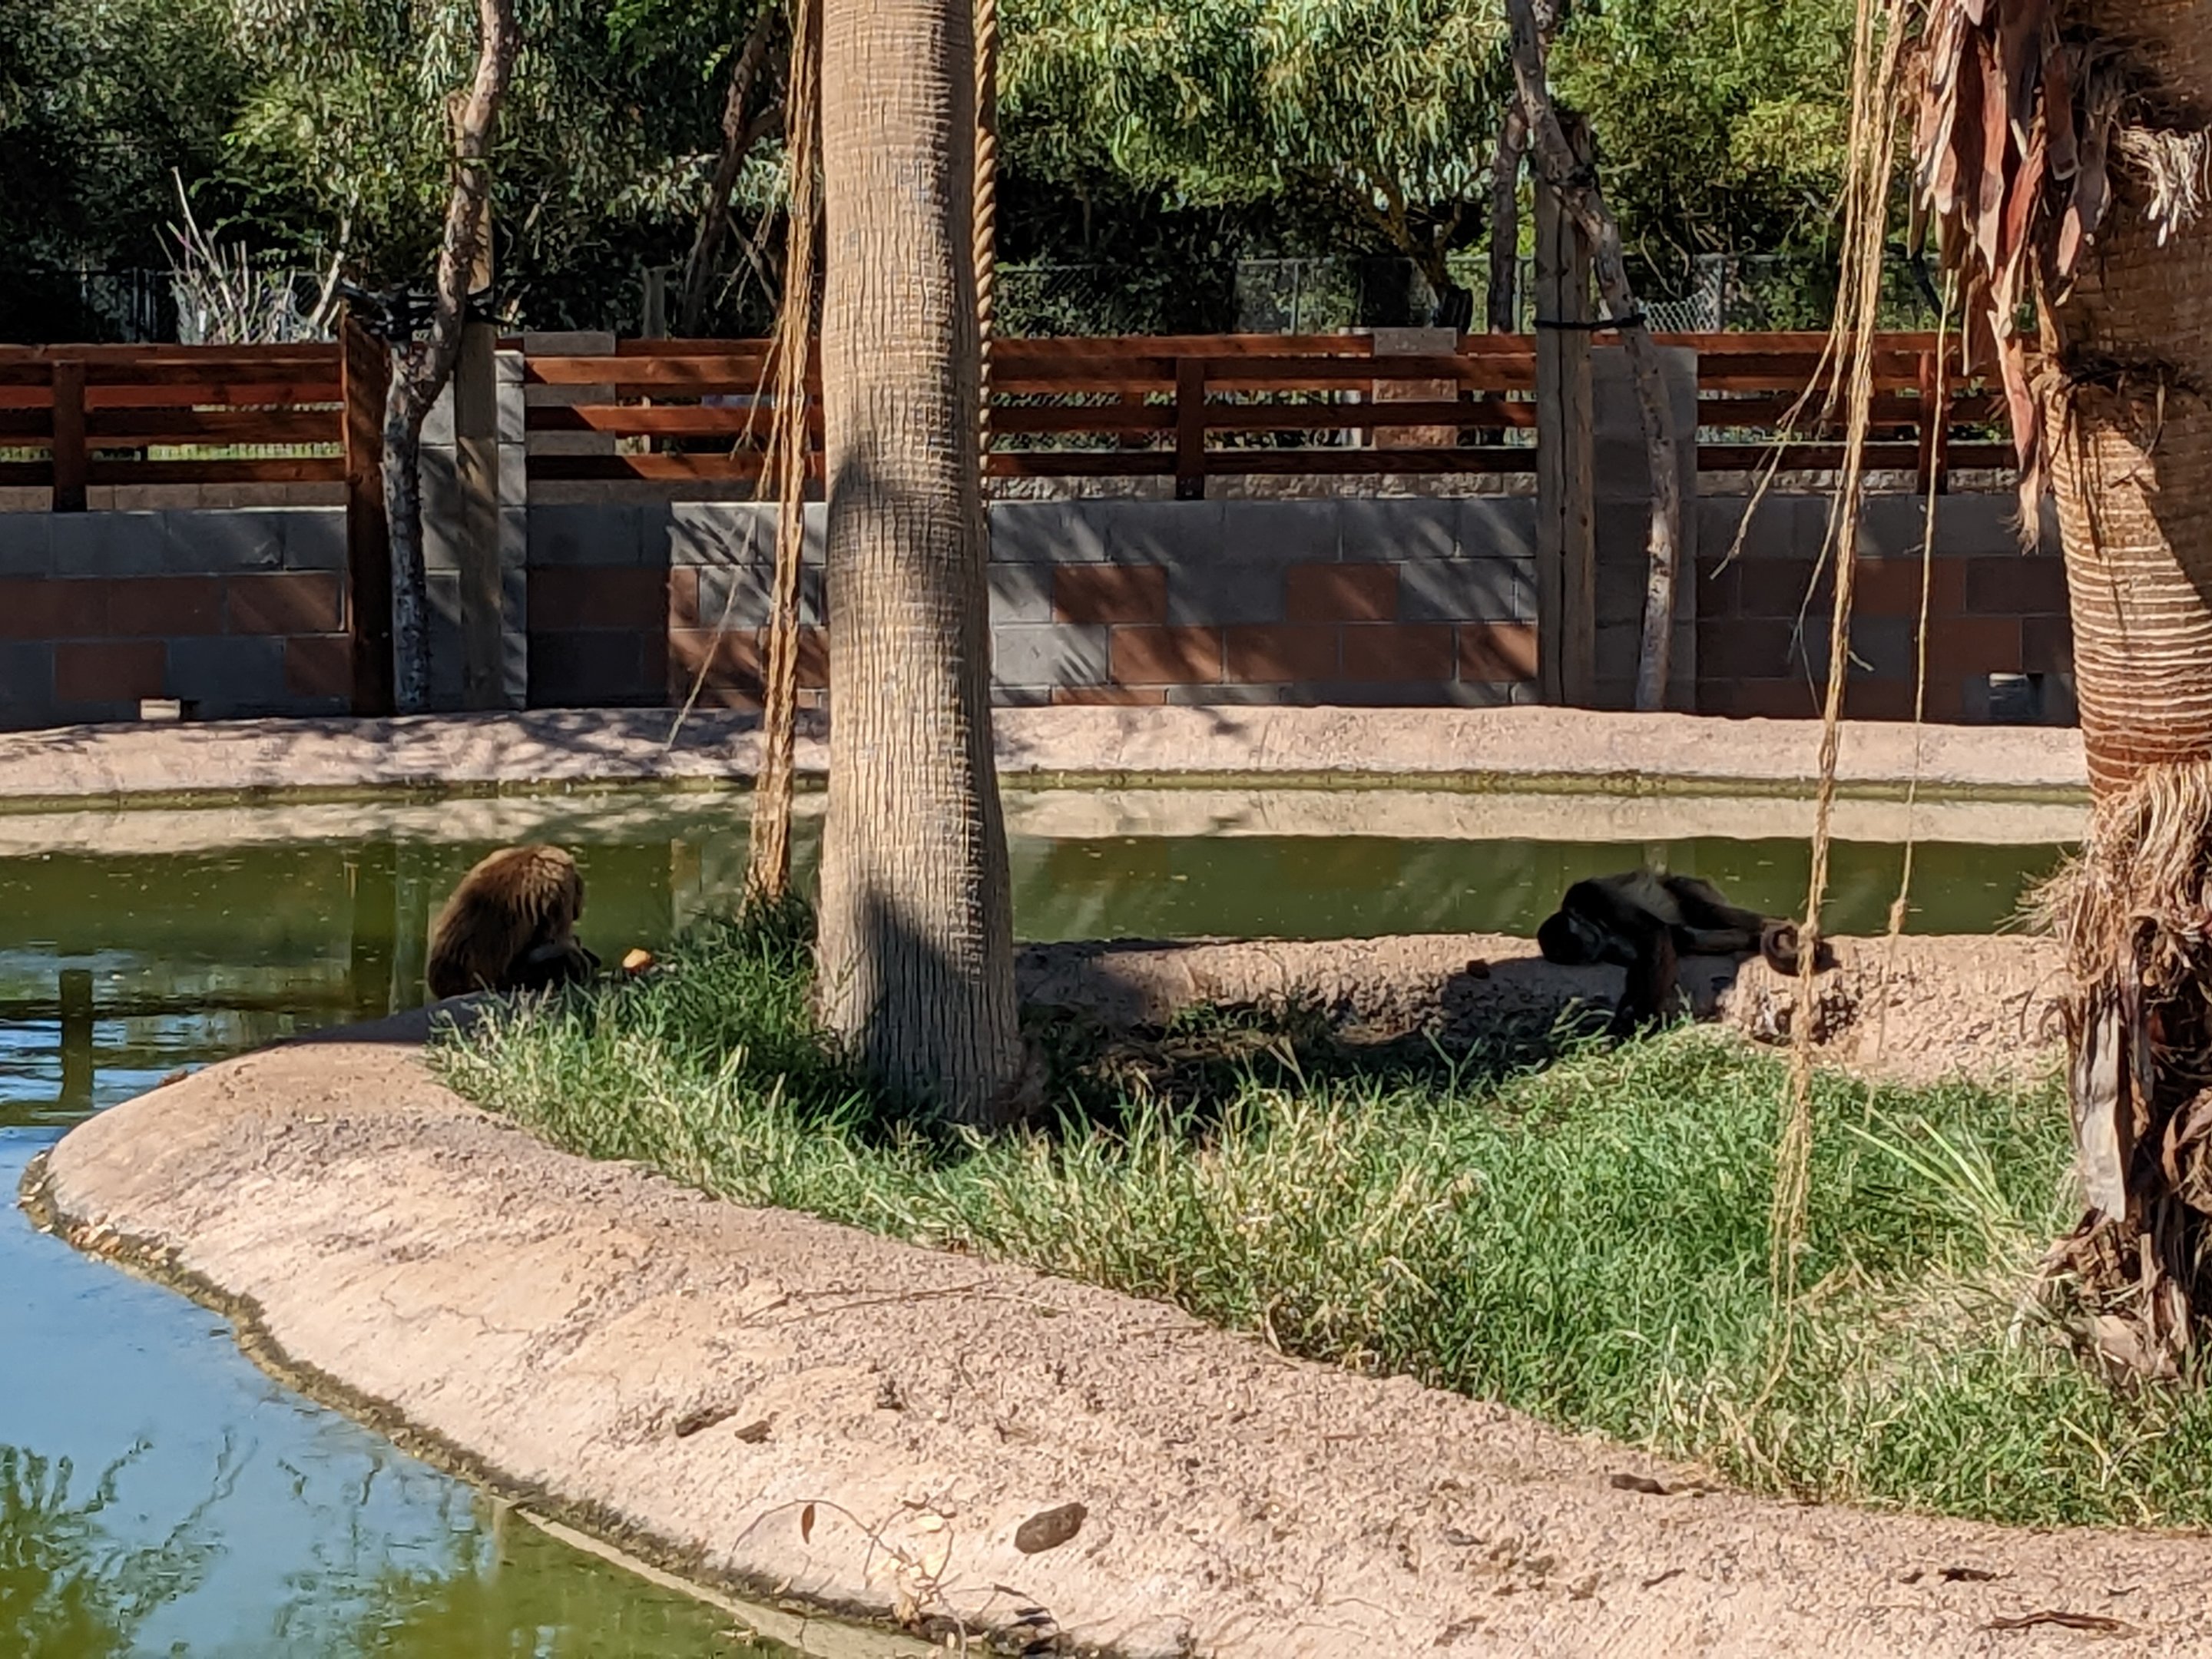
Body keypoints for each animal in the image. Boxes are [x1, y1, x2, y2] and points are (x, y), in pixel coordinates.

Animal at [1536, 869, 1834, 1037]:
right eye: (1569, 951)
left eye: (1573, 940)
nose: (1586, 949)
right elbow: (1669, 941)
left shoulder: (1592, 896)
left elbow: (1655, 933)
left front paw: (1635, 1022)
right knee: (1687, 934)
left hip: (1688, 885)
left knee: (1702, 911)